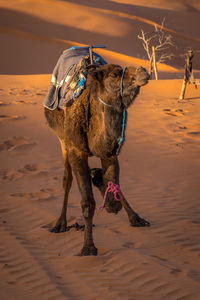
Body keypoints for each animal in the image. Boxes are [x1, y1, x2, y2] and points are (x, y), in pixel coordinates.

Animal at [44, 63, 150, 255]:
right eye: (114, 74)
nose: (143, 70)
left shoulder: (110, 152)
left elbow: (114, 189)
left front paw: (112, 202)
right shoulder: (77, 151)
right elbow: (87, 202)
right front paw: (88, 247)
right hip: (62, 140)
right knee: (67, 179)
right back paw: (60, 224)